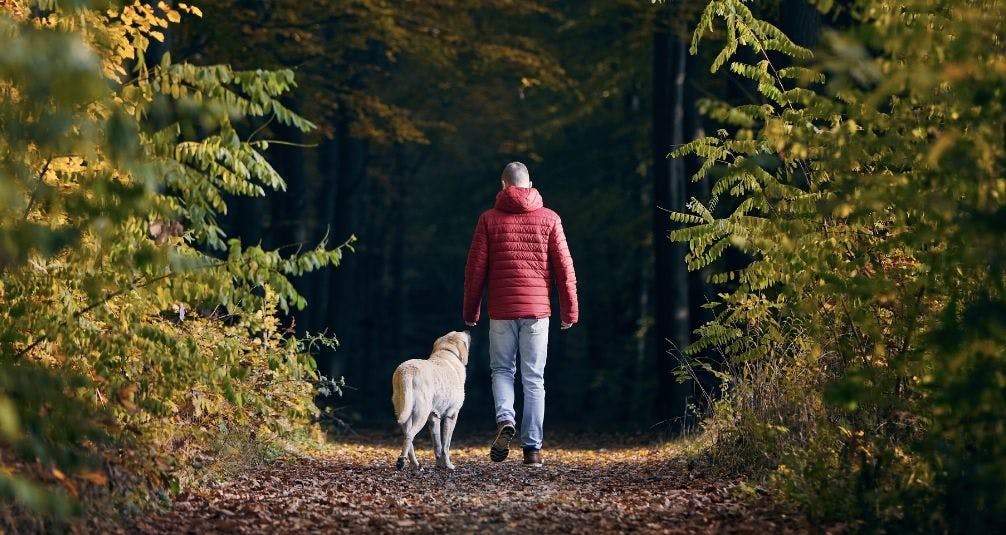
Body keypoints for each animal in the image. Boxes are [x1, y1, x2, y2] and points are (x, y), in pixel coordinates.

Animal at [392, 329, 470, 472]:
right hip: (421, 414)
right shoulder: (452, 415)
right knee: (410, 435)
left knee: (407, 437)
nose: (467, 330)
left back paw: (414, 464)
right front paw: (449, 466)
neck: (446, 351)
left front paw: (440, 465)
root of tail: (406, 372)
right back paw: (401, 462)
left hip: (405, 412)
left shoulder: (434, 417)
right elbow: (446, 446)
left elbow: (437, 445)